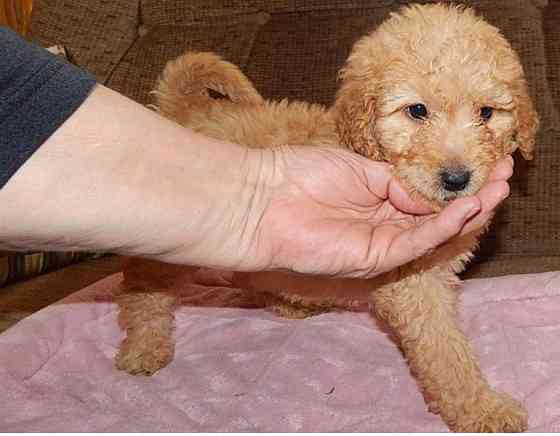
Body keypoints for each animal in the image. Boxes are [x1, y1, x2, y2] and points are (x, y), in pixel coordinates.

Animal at [114, 4, 540, 432]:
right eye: (417, 111)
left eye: (486, 113)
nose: (456, 178)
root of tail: (188, 113)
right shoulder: (413, 287)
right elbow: (445, 353)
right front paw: (482, 408)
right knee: (142, 288)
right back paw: (144, 346)